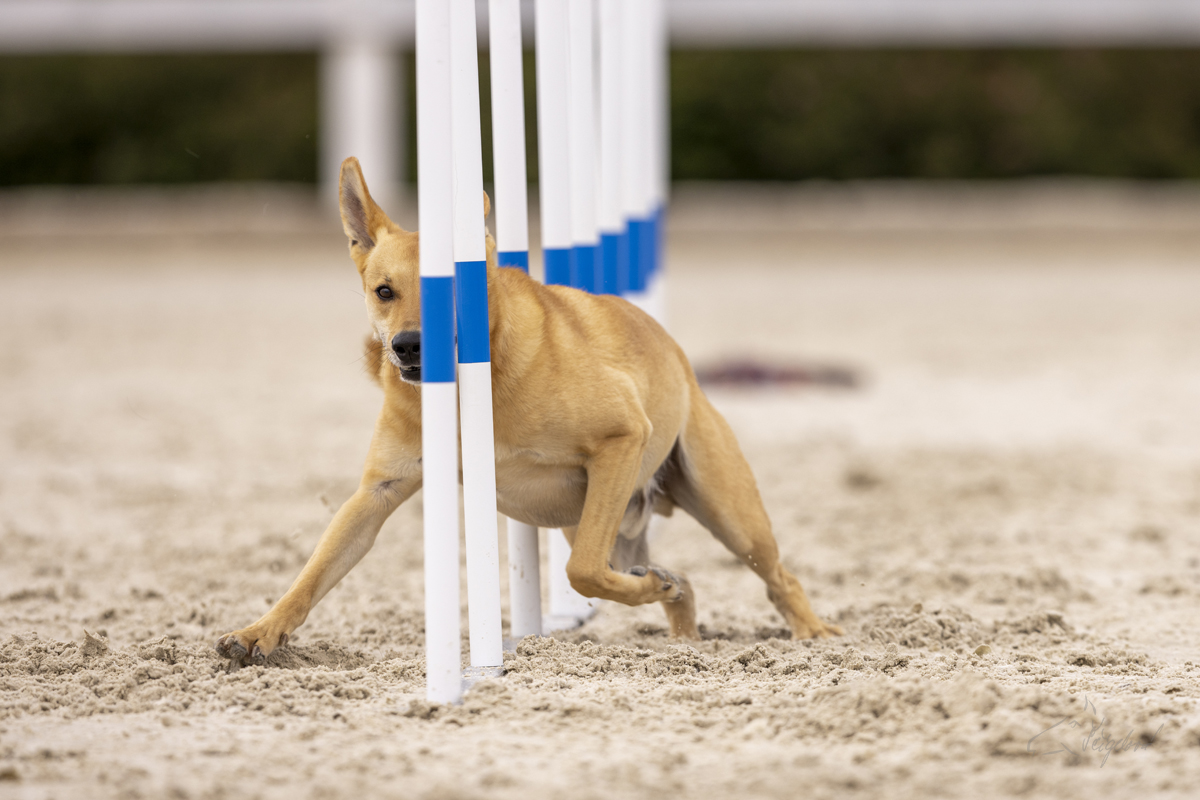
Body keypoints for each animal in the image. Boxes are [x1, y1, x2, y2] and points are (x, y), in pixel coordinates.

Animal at [216, 159, 840, 666]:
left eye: (448, 293)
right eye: (383, 291)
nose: (409, 347)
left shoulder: (621, 438)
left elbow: (581, 572)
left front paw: (646, 591)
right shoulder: (376, 494)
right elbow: (313, 574)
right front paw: (258, 632)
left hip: (724, 508)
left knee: (776, 576)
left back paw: (812, 633)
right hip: (606, 522)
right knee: (678, 579)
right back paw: (681, 630)